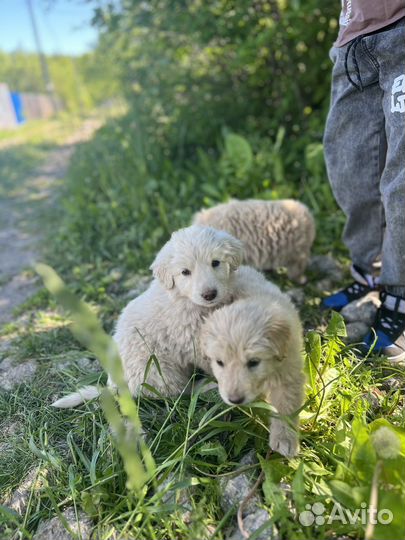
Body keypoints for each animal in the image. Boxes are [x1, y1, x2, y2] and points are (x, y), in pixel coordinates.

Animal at [52, 226, 243, 408]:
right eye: (185, 272)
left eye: (215, 263)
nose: (209, 294)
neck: (184, 299)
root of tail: (115, 389)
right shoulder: (192, 342)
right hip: (157, 370)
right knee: (180, 392)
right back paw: (204, 386)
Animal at [200, 266, 304, 456]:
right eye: (220, 362)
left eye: (254, 362)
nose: (234, 400)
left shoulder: (288, 373)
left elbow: (285, 406)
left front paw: (285, 439)